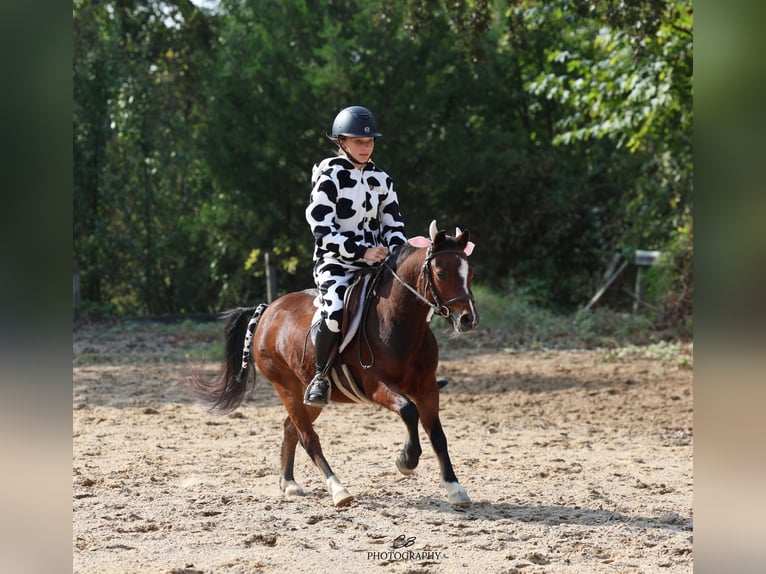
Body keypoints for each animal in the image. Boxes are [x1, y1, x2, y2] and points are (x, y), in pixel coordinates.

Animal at [191, 220, 479, 507]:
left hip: (308, 395)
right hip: (287, 388)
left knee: (290, 428)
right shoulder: (377, 386)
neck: (399, 323)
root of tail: (268, 309)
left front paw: (454, 487)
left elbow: (438, 435)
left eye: (471, 273)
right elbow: (409, 411)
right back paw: (338, 489)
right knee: (308, 438)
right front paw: (406, 460)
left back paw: (289, 483)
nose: (468, 319)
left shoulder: (427, 387)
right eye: (441, 274)